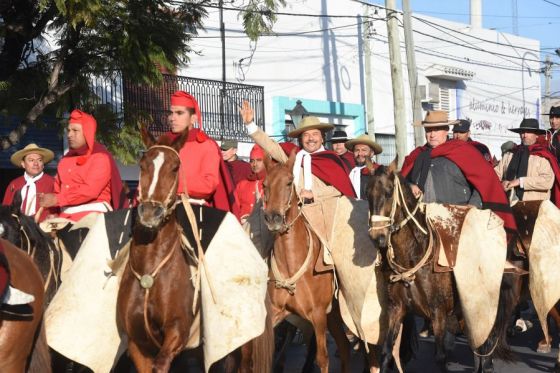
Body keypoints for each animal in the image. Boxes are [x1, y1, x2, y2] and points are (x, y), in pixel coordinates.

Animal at [118, 129, 274, 372]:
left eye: (175, 167)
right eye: (142, 165)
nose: (150, 213)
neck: (150, 271)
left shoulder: (175, 335)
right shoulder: (138, 345)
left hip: (244, 341)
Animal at [260, 151, 352, 372]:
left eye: (289, 182)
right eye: (265, 184)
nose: (273, 218)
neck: (292, 264)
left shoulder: (317, 316)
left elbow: (323, 358)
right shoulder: (276, 312)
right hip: (333, 316)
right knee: (345, 349)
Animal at [368, 161, 516, 370]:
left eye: (389, 192)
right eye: (367, 193)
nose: (377, 237)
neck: (414, 255)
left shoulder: (438, 314)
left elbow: (440, 357)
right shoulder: (396, 309)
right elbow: (387, 351)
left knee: (486, 345)